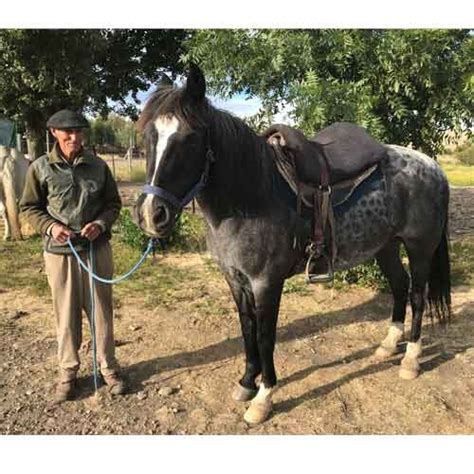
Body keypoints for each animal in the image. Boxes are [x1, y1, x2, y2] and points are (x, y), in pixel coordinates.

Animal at [133, 64, 452, 426]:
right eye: (147, 137)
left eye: (189, 138)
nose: (150, 214)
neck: (250, 196)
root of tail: (433, 167)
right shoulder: (235, 280)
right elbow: (247, 328)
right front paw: (246, 382)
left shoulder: (266, 283)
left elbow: (265, 336)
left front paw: (263, 397)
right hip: (384, 246)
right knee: (399, 286)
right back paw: (387, 346)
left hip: (419, 247)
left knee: (417, 295)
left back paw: (410, 359)